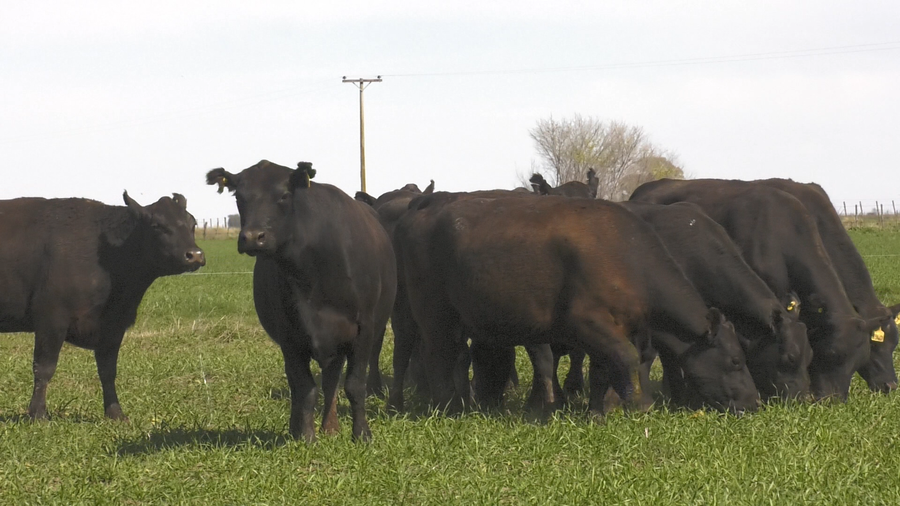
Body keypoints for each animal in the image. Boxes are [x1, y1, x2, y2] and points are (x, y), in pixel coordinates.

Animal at [0, 192, 205, 420]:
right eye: (156, 225)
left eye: (193, 223)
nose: (194, 254)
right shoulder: (51, 318)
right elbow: (44, 368)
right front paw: (38, 414)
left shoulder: (113, 326)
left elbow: (108, 370)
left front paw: (115, 413)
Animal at [206, 160, 396, 442]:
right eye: (239, 197)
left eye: (284, 195)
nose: (252, 237)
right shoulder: (290, 337)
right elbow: (304, 388)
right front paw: (305, 436)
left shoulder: (364, 328)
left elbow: (354, 385)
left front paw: (362, 433)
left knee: (332, 380)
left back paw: (331, 426)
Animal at [392, 193, 759, 416]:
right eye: (736, 360)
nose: (754, 401)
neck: (629, 256)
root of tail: (421, 209)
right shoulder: (586, 321)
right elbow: (626, 357)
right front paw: (634, 405)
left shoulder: (608, 329)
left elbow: (602, 369)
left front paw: (598, 409)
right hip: (433, 315)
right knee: (437, 357)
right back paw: (449, 407)